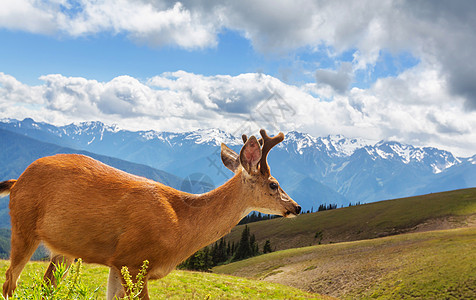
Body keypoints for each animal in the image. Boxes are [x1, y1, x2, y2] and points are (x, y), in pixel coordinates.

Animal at [0, 129, 300, 300]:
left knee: (45, 286)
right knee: (10, 281)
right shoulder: (134, 259)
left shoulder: (117, 262)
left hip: (65, 250)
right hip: (23, 226)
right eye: (274, 184)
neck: (182, 225)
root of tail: (17, 181)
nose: (296, 207)